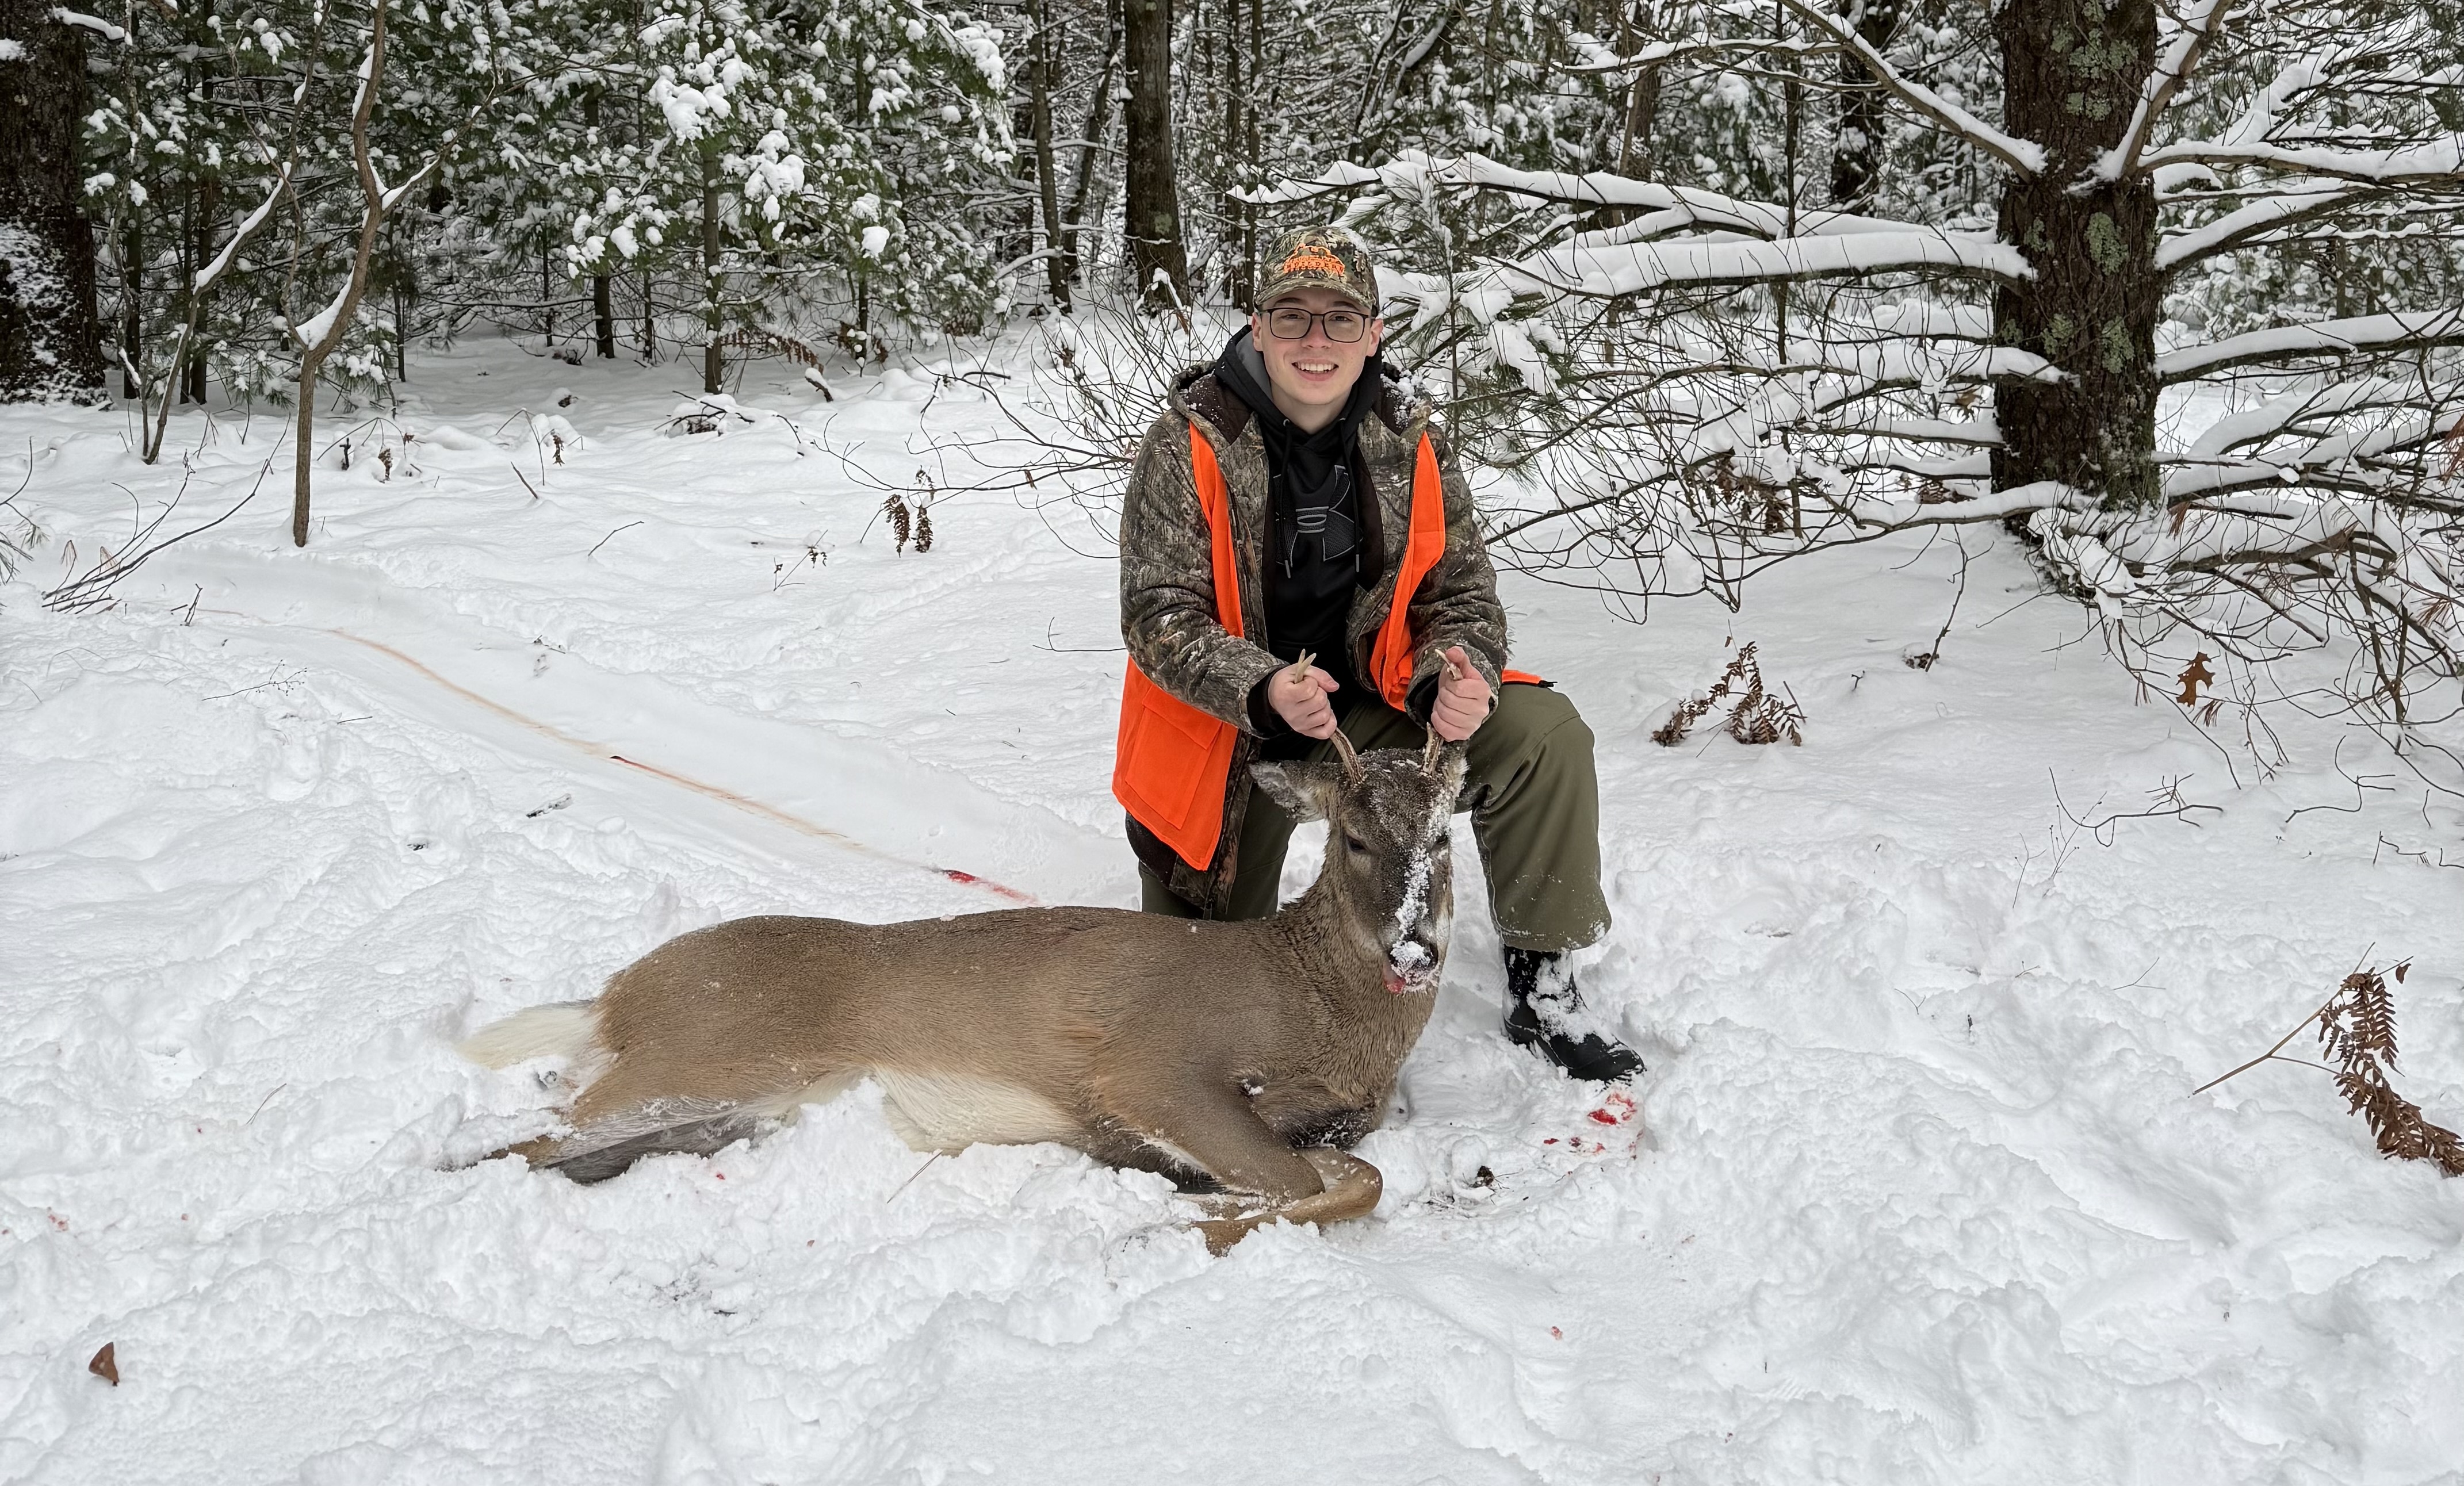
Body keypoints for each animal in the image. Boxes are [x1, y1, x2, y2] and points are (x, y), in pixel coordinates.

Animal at [460, 696, 1466, 1254]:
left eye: (1443, 837)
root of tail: (616, 996)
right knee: (515, 1138)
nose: (1413, 949)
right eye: (1354, 836)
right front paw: (1166, 1229)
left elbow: (1352, 1176)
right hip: (706, 1054)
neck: (1313, 1005)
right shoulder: (1153, 1065)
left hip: (716, 1108)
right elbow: (1302, 1185)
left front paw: (1191, 1206)